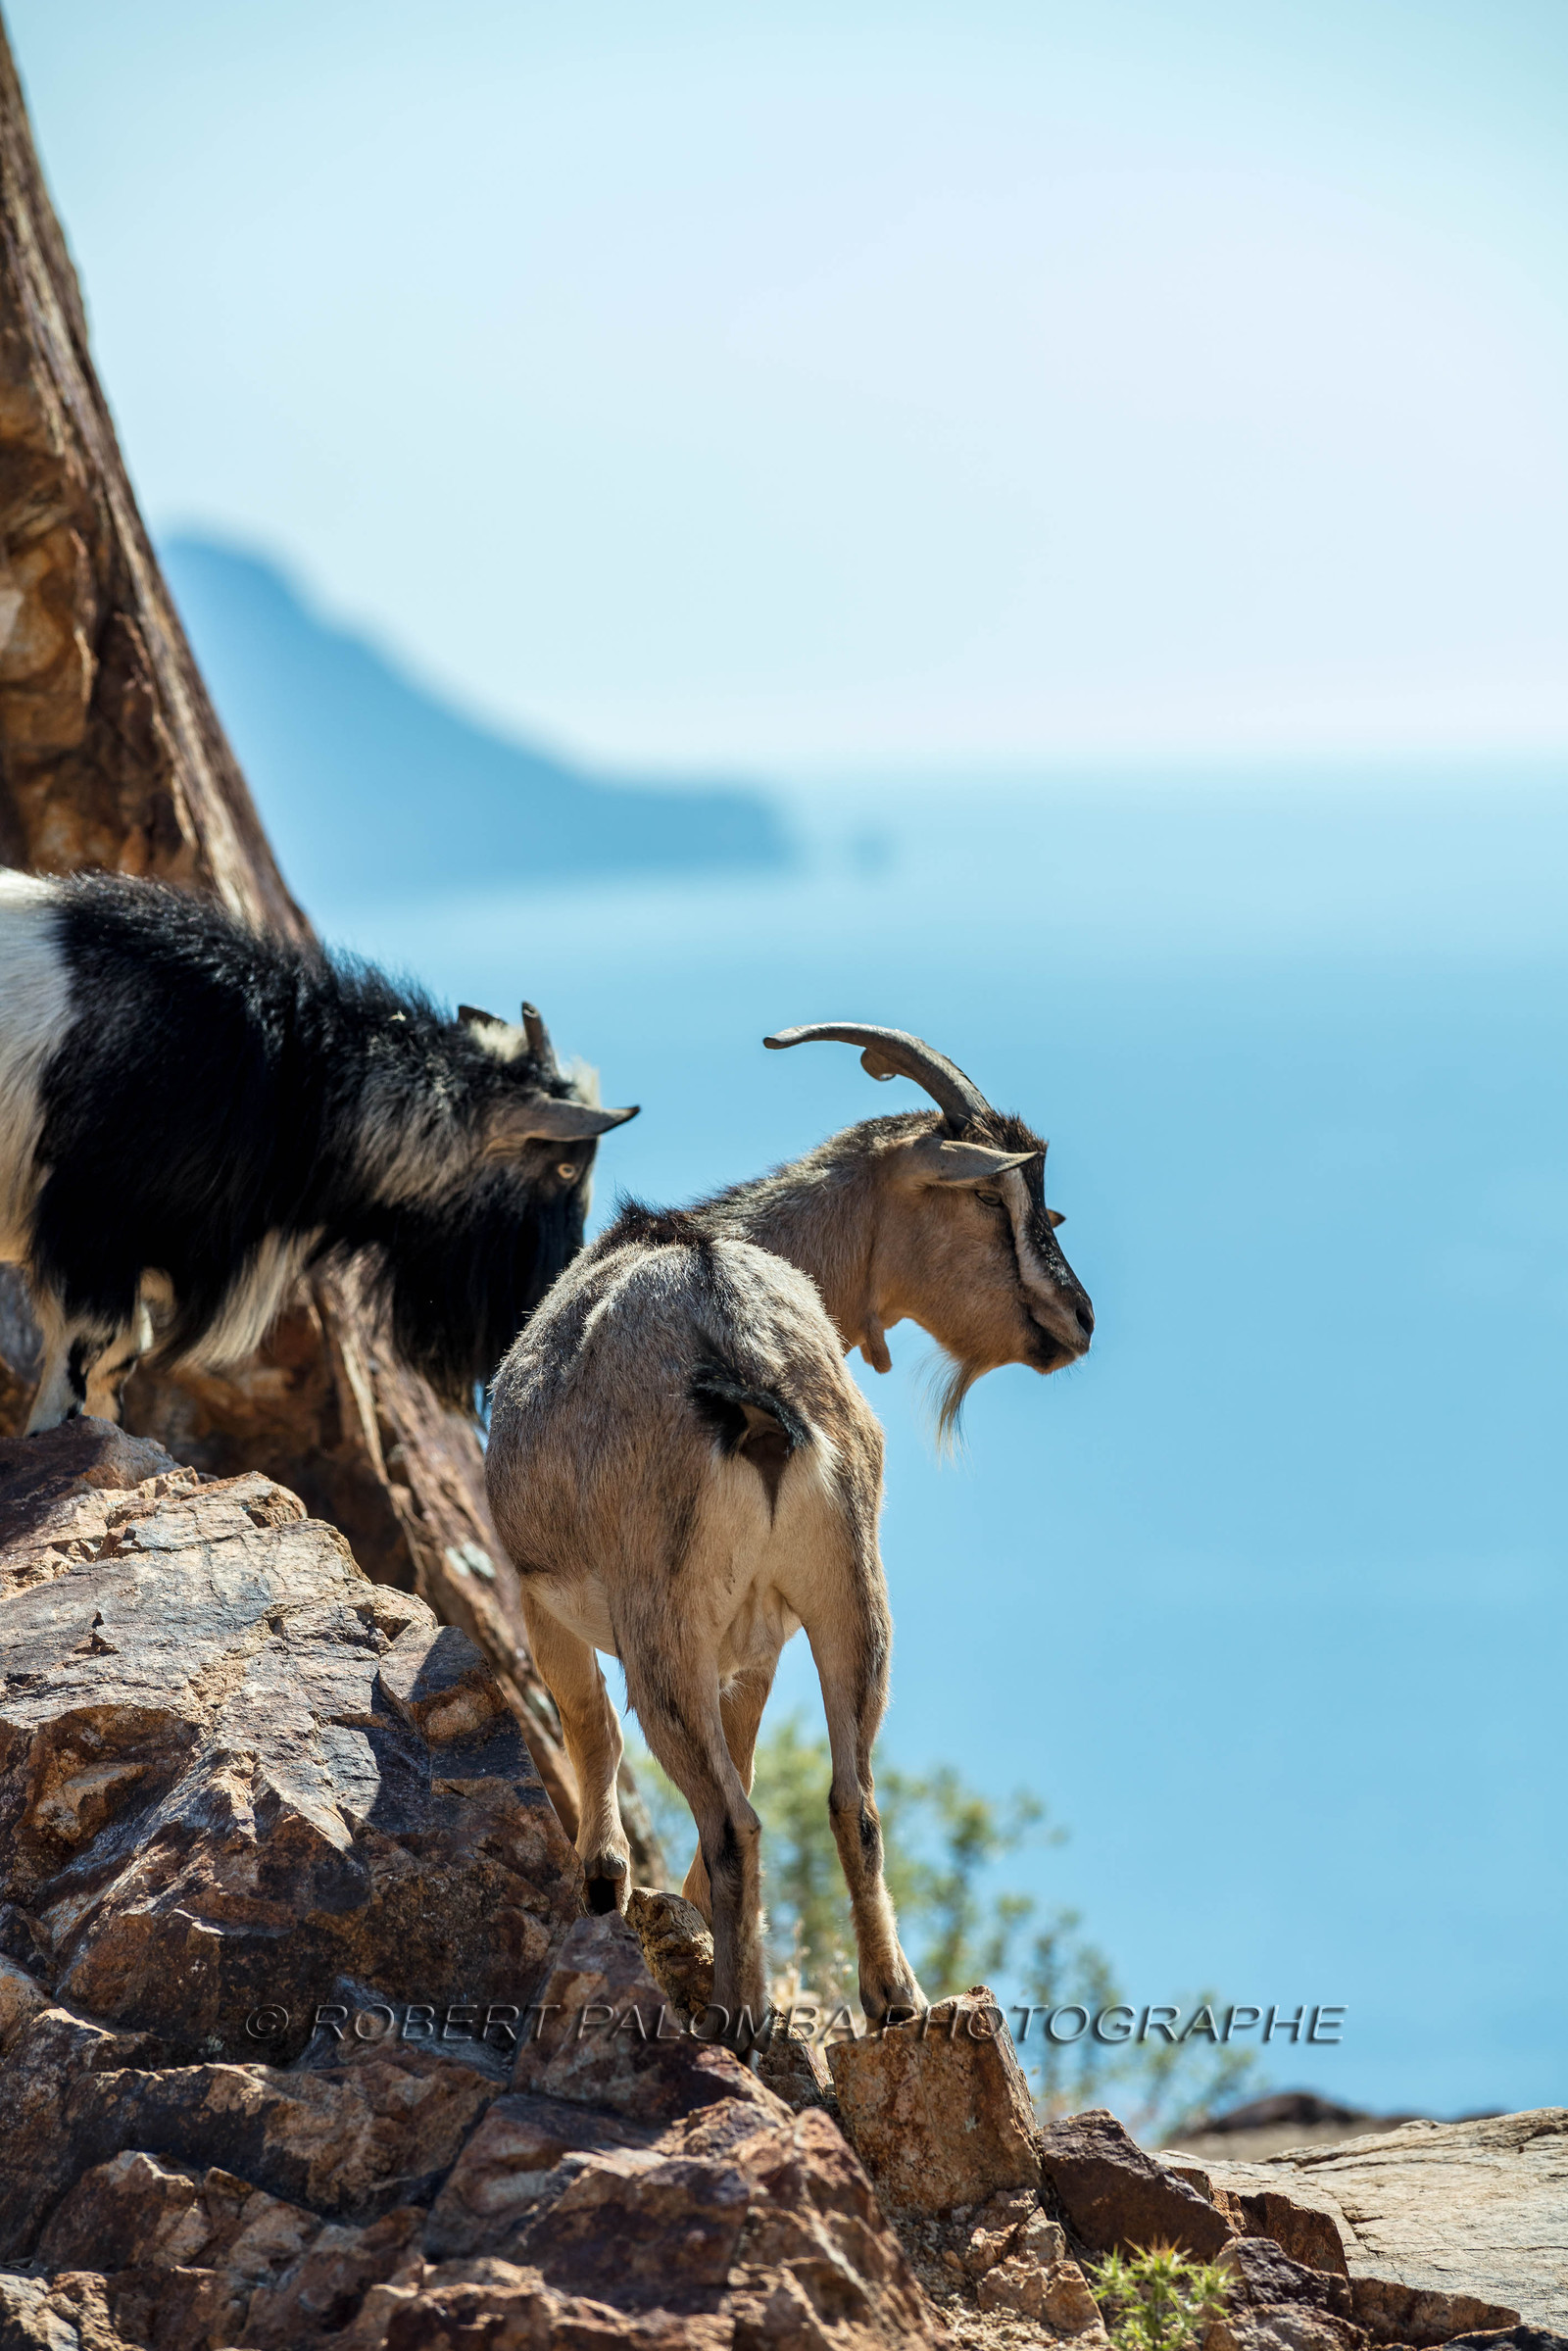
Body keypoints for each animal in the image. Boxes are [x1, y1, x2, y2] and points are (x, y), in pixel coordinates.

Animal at [0, 868, 636, 1428]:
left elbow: (118, 1359)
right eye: (564, 1169)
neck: (286, 1075)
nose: (553, 1294)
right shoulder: (92, 1224)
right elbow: (90, 1346)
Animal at [485, 1021, 1093, 2037]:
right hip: (851, 1588)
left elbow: (590, 1723)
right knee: (854, 1798)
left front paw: (607, 1885)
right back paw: (893, 1998)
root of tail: (744, 1362)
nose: (1079, 1319)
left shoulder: (545, 1598)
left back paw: (737, 2014)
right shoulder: (759, 1636)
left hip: (664, 1623)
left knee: (730, 1813)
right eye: (987, 1196)